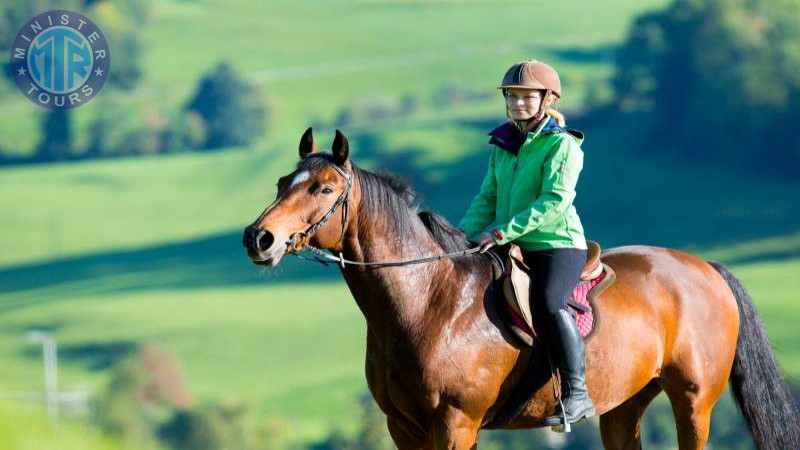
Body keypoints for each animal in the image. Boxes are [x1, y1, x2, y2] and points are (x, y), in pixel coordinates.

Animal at [242, 128, 800, 448]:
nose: (258, 238)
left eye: (324, 189)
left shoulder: (455, 423)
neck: (428, 301)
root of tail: (705, 268)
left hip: (693, 401)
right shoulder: (405, 428)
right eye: (281, 183)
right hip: (624, 406)